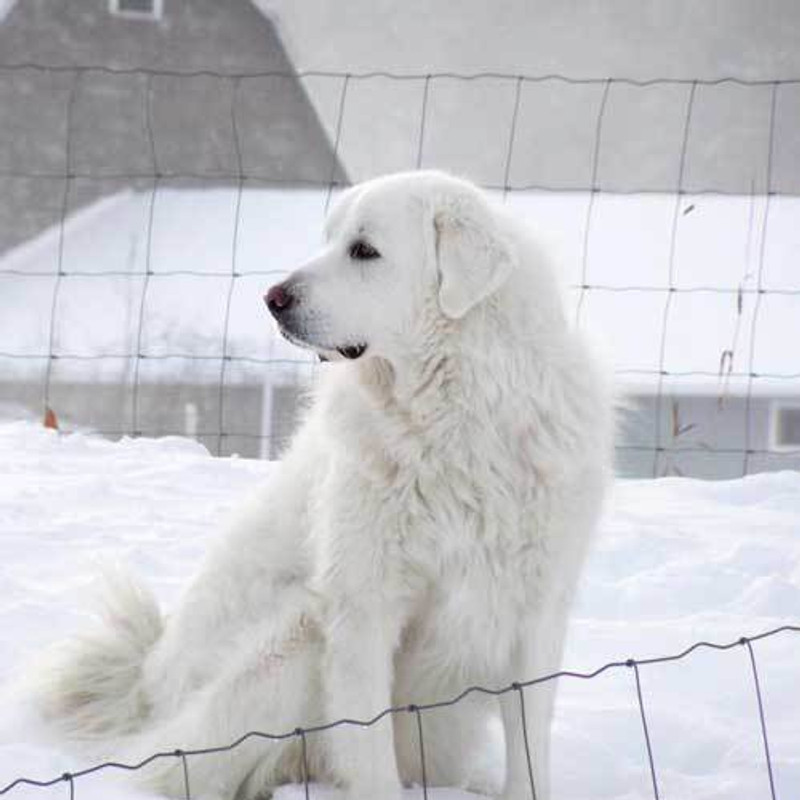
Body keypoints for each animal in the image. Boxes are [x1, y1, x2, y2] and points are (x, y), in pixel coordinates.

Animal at [37, 172, 612, 800]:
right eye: (329, 239)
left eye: (364, 250)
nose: (272, 299)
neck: (454, 418)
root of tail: (142, 681)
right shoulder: (362, 607)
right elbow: (369, 748)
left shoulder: (536, 610)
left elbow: (529, 746)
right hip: (298, 630)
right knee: (171, 766)